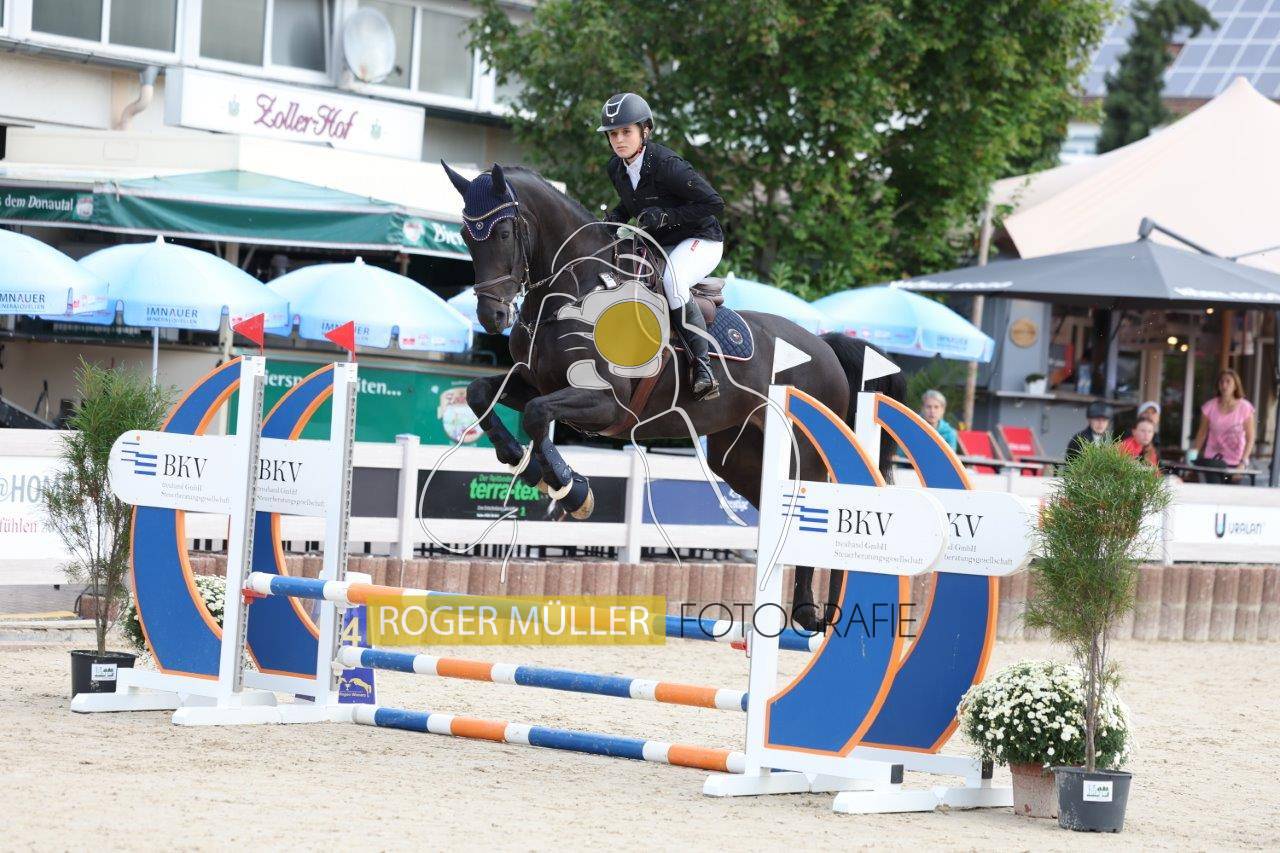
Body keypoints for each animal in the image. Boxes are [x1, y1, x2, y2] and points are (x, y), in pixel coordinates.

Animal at [443, 161, 905, 632]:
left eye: (503, 232)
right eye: (466, 235)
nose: (491, 315)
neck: (573, 293)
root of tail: (825, 346)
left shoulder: (605, 403)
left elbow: (537, 415)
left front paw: (571, 489)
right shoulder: (538, 383)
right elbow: (482, 393)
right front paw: (522, 462)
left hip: (804, 453)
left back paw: (817, 613)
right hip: (739, 456)